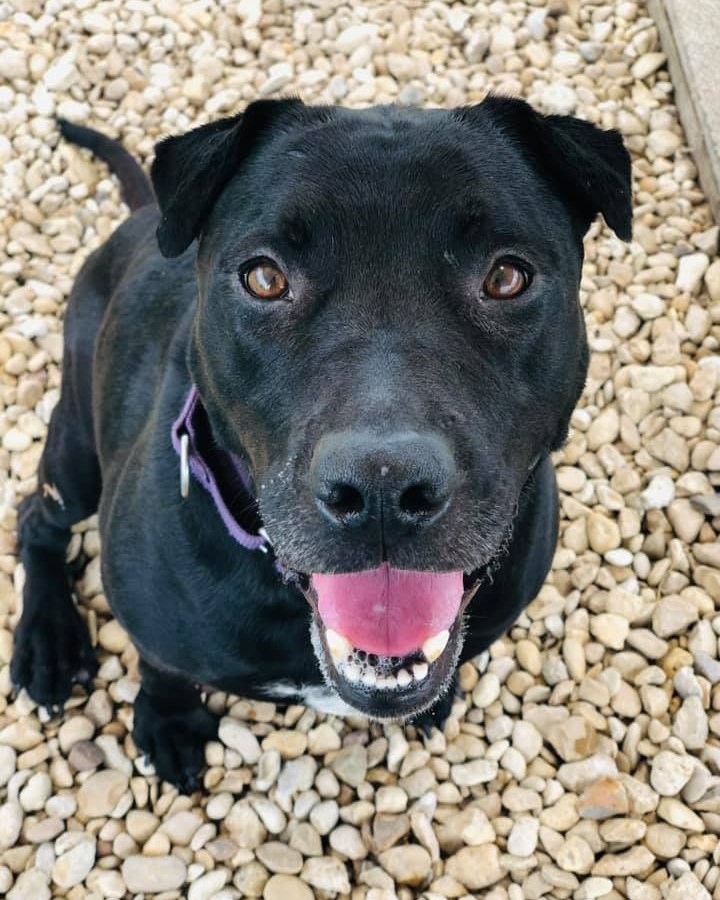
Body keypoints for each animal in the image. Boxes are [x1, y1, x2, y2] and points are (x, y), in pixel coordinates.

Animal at [11, 95, 632, 792]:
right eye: (264, 278)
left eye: (506, 277)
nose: (383, 486)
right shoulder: (154, 624)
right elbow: (162, 667)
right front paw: (168, 722)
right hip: (74, 458)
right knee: (36, 520)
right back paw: (47, 641)